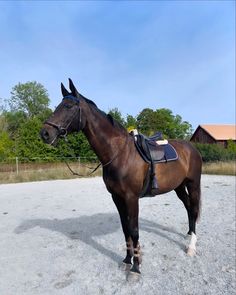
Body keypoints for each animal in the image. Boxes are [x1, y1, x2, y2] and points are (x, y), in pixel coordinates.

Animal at [40, 79, 201, 276]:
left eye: (69, 106)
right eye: (59, 105)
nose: (45, 133)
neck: (119, 154)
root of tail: (192, 148)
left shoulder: (131, 198)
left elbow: (134, 230)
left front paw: (136, 267)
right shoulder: (117, 197)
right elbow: (125, 229)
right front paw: (126, 259)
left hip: (193, 184)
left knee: (194, 209)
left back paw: (191, 247)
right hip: (178, 186)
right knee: (188, 208)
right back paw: (188, 233)